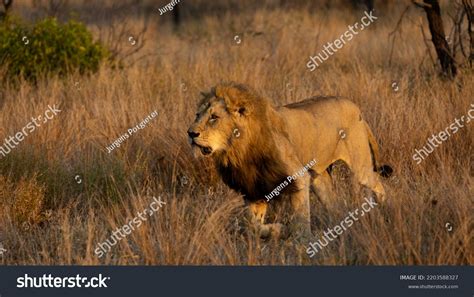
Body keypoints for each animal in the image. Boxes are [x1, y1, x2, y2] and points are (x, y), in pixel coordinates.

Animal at [187, 81, 390, 238]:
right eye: (197, 115)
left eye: (214, 117)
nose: (190, 133)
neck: (239, 150)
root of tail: (356, 108)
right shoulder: (253, 189)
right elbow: (253, 227)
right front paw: (277, 230)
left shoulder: (298, 178)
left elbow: (300, 221)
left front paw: (301, 242)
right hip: (319, 179)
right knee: (335, 205)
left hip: (360, 167)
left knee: (377, 183)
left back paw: (384, 208)